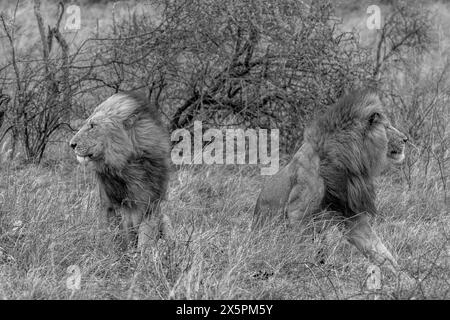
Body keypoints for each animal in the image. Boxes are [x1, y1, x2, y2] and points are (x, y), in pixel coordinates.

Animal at [69, 92, 173, 250]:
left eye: (93, 126)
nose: (71, 144)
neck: (129, 165)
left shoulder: (151, 205)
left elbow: (146, 238)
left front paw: (145, 256)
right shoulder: (115, 206)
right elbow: (120, 237)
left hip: (165, 218)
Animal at [253, 89, 412, 278]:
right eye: (387, 127)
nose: (406, 139)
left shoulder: (351, 213)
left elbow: (379, 250)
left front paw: (407, 279)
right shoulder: (296, 213)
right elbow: (300, 246)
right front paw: (303, 269)